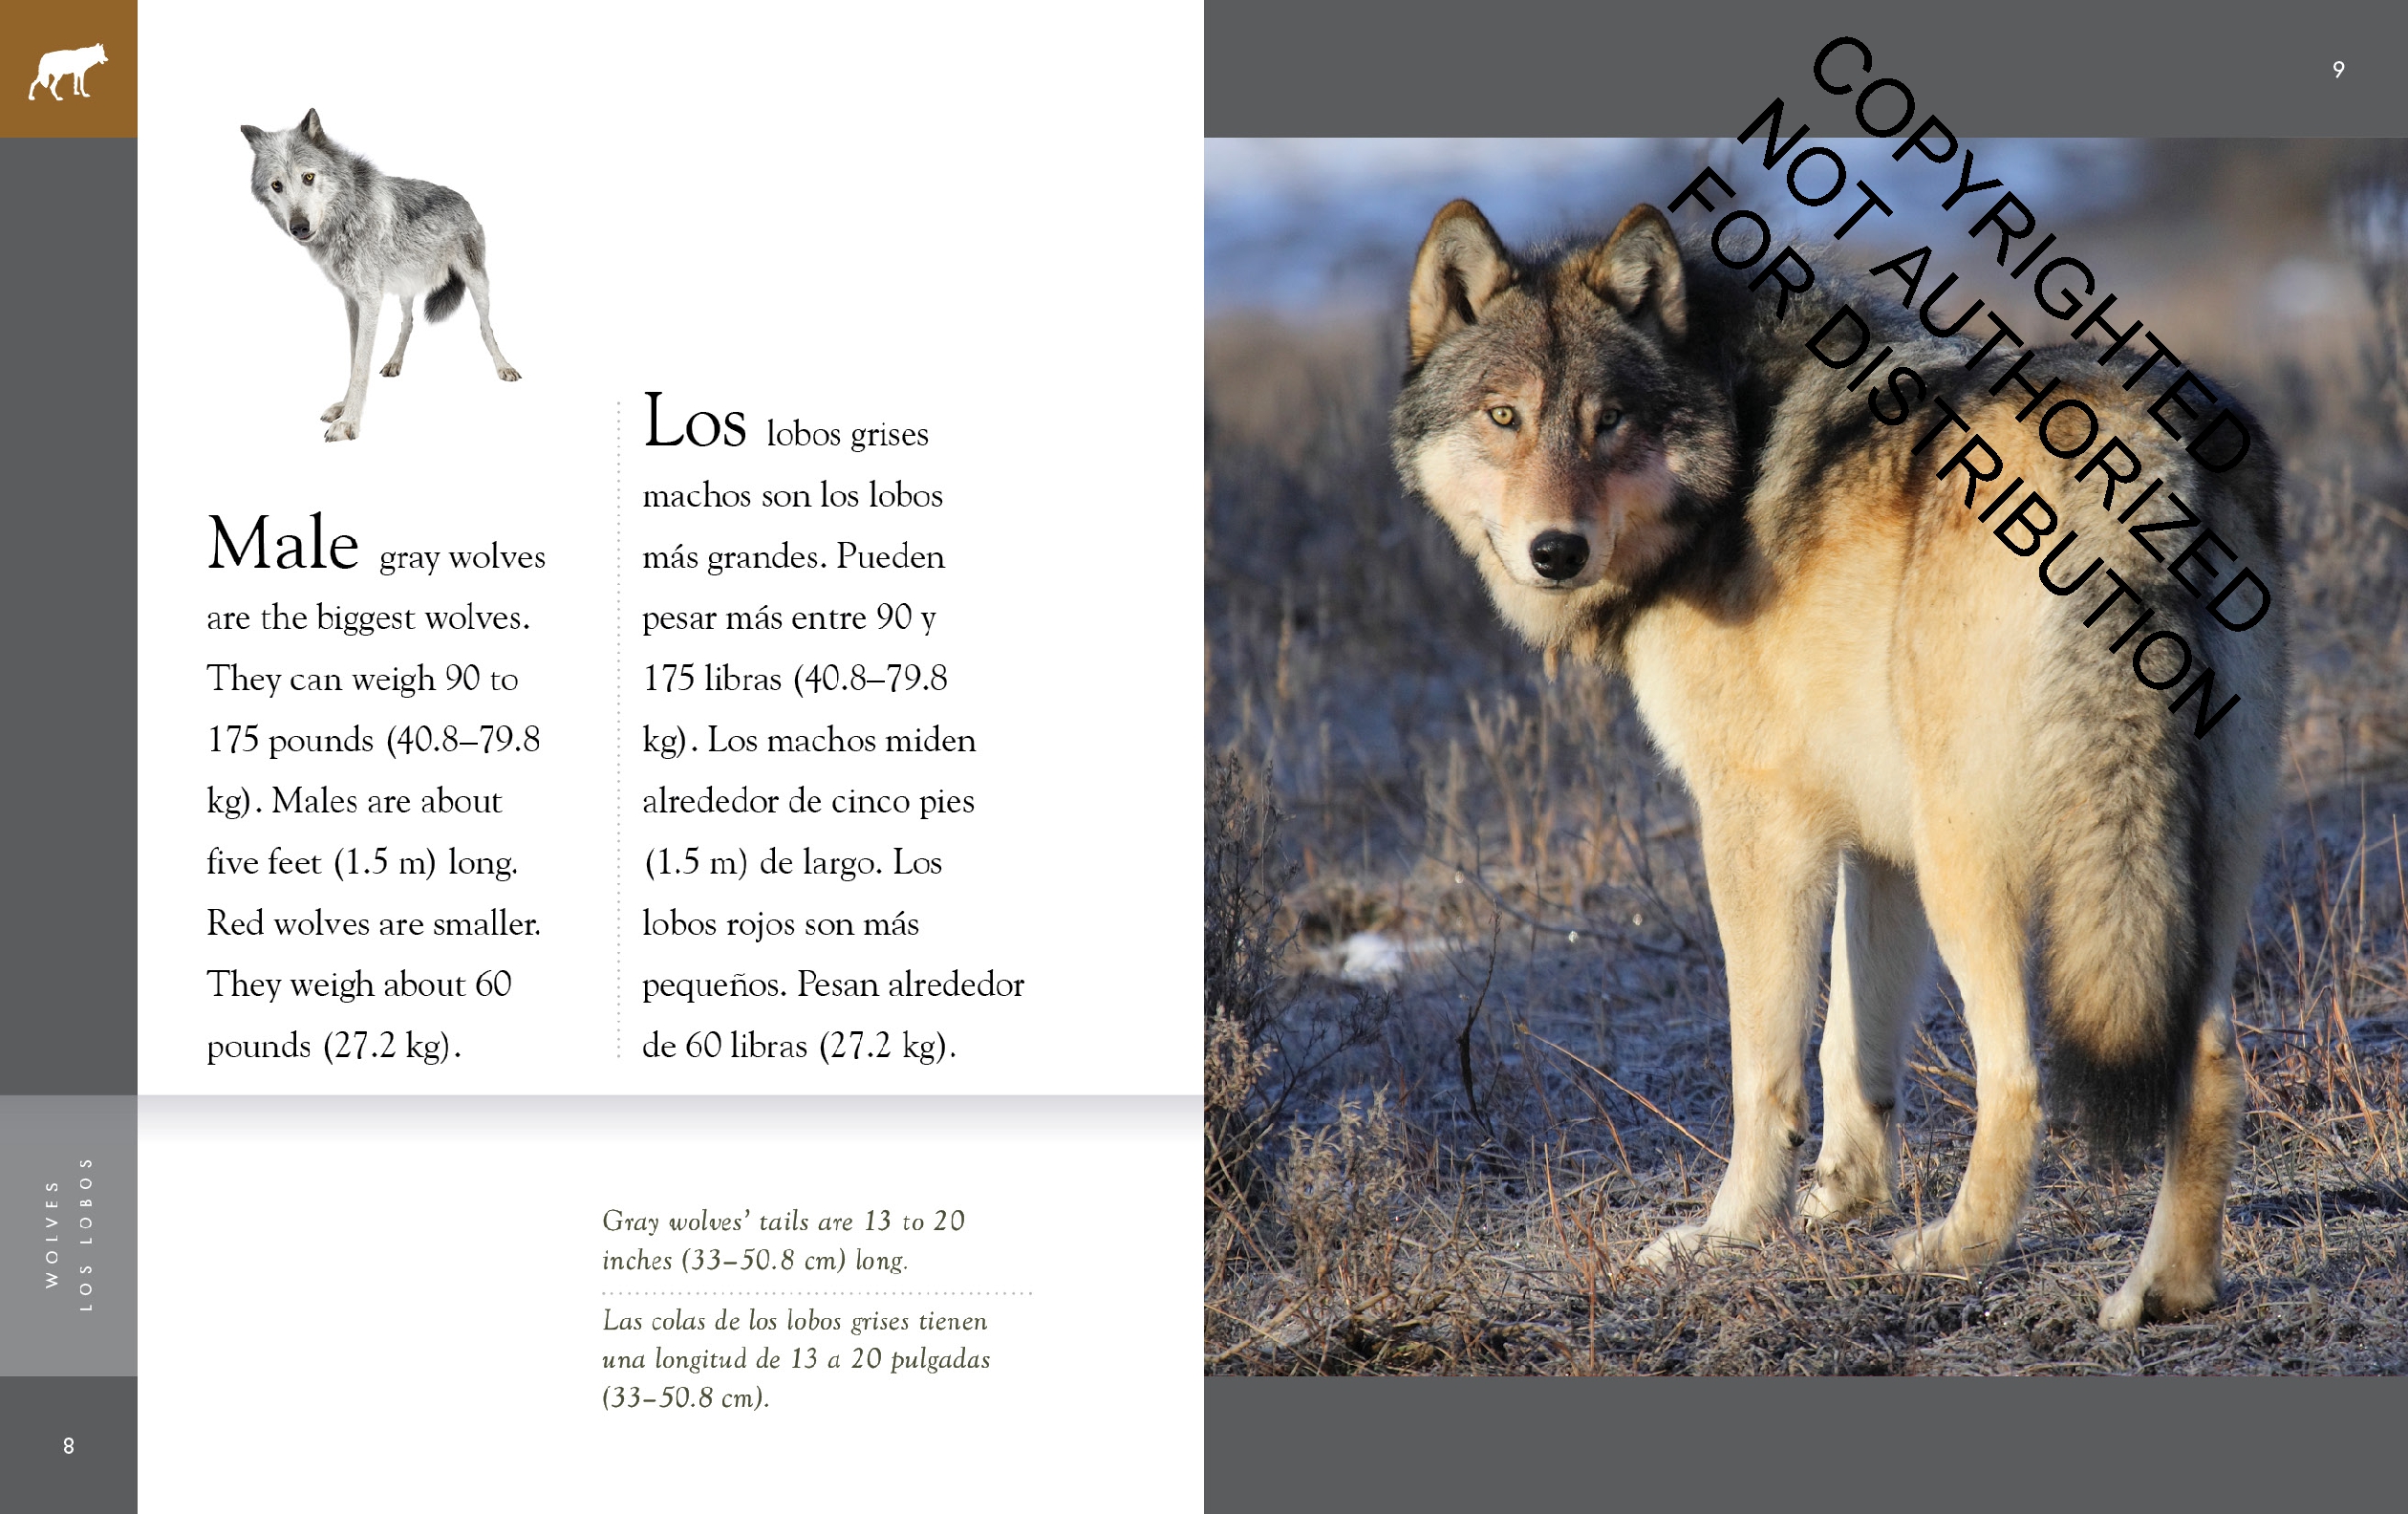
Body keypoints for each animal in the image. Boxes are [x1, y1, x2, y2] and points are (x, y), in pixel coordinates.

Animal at [241, 109, 520, 441]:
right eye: (277, 185)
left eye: (308, 177)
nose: (299, 227)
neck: (347, 216)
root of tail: (463, 199)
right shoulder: (351, 299)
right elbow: (353, 358)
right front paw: (344, 408)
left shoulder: (370, 300)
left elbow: (360, 364)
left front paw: (348, 422)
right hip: (406, 289)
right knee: (408, 324)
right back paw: (394, 363)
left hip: (478, 283)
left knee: (485, 328)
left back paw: (504, 367)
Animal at [1393, 199, 2288, 1327]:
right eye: (1505, 417)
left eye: (1610, 421)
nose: (1556, 550)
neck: (1731, 437)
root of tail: (2142, 447)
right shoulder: (1873, 842)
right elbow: (1852, 1046)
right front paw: (1840, 1203)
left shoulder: (1755, 825)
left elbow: (1765, 1063)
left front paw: (1731, 1234)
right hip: (2196, 866)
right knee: (2208, 1061)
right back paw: (2164, 1294)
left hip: (1971, 866)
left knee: (2019, 1076)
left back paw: (1952, 1252)